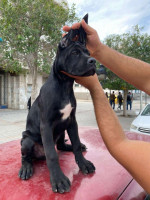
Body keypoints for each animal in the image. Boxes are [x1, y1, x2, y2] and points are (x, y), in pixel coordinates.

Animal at [18, 14, 96, 194]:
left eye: (88, 52)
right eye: (74, 52)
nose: (93, 61)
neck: (65, 85)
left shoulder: (72, 121)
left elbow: (75, 143)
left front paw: (83, 164)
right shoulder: (46, 125)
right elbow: (52, 155)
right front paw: (58, 180)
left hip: (61, 130)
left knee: (60, 146)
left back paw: (73, 146)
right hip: (27, 140)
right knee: (28, 156)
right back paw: (26, 168)